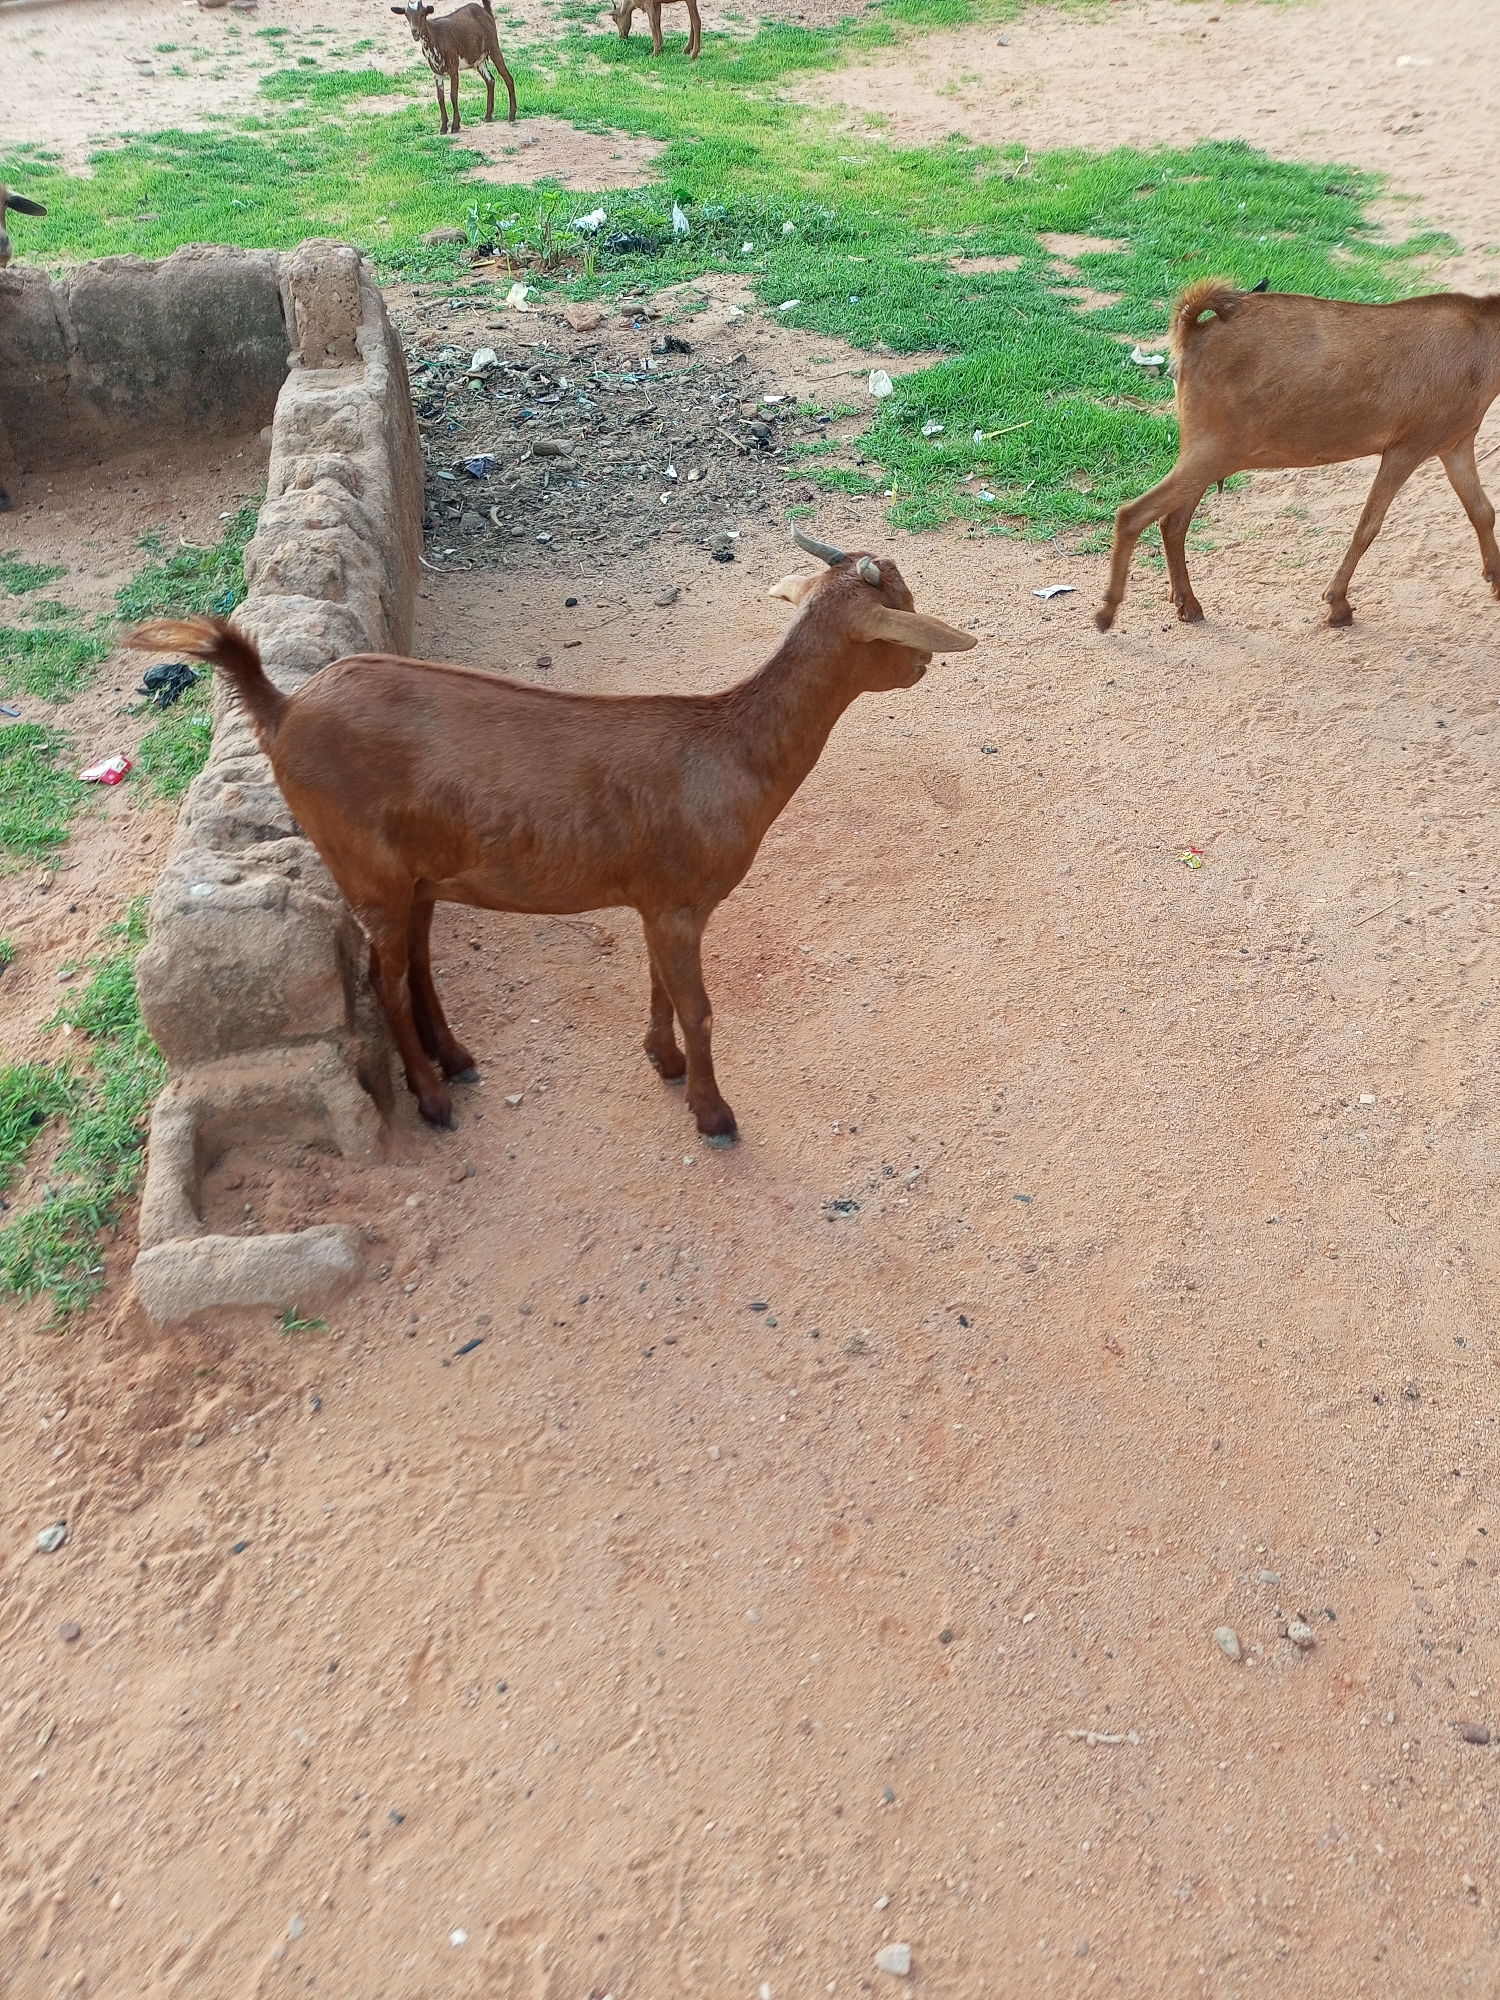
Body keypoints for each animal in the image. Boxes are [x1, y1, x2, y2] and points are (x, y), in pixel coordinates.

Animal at [129, 532, 975, 1139]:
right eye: (902, 609)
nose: (926, 662)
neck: (729, 749)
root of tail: (280, 706)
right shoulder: (679, 904)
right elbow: (699, 1007)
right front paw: (714, 1115)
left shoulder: (656, 902)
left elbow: (659, 986)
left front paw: (663, 1062)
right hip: (365, 867)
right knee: (382, 980)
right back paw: (433, 1100)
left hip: (417, 874)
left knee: (413, 964)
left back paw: (455, 1059)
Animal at [392, 0, 517, 134]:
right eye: (406, 14)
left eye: (423, 14)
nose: (414, 31)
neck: (435, 36)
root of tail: (485, 11)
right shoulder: (436, 72)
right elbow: (440, 97)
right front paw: (443, 127)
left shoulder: (453, 68)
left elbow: (453, 95)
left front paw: (455, 126)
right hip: (479, 60)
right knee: (490, 80)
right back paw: (488, 116)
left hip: (493, 47)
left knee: (508, 77)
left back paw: (511, 116)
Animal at [1095, 278, 1500, 631]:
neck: (1484, 340)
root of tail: (1194, 332)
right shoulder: (1407, 447)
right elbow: (1367, 527)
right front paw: (1338, 604)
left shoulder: (1455, 444)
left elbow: (1482, 511)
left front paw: (1496, 581)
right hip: (1213, 449)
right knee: (1133, 514)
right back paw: (1107, 612)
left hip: (1207, 451)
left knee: (1172, 523)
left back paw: (1188, 605)